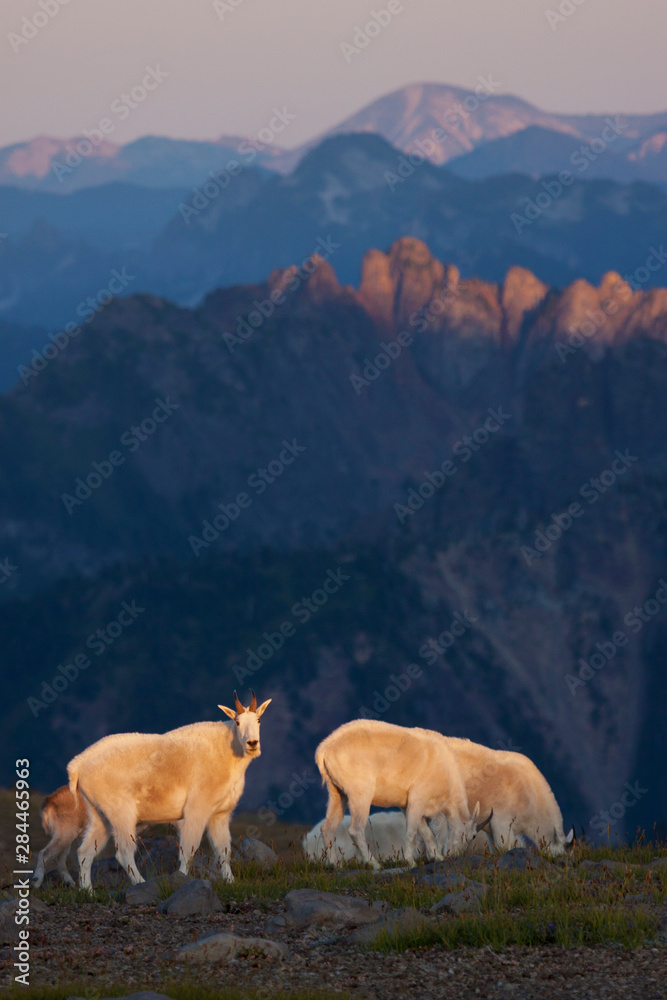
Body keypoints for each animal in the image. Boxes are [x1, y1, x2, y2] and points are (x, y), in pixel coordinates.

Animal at [67, 690, 271, 888]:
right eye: (238, 722)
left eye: (259, 720)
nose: (252, 743)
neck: (227, 752)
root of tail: (77, 766)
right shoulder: (196, 810)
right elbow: (188, 850)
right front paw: (182, 878)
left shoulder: (219, 815)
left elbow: (223, 851)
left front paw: (230, 881)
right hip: (121, 813)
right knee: (123, 852)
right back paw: (140, 883)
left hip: (99, 815)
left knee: (85, 852)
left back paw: (88, 891)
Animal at [315, 719, 491, 867]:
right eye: (473, 835)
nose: (456, 855)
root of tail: (324, 750)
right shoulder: (418, 797)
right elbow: (412, 831)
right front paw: (410, 861)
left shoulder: (409, 806)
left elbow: (426, 832)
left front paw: (436, 857)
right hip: (360, 793)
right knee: (356, 830)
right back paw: (374, 864)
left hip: (337, 792)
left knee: (328, 827)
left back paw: (335, 865)